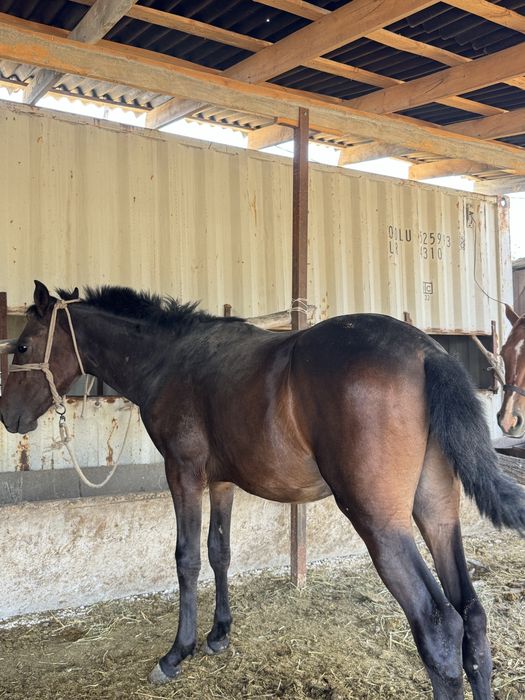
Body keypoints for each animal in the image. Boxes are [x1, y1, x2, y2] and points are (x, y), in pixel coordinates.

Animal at [1, 281, 524, 700]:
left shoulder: (183, 473)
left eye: (22, 347)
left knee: (439, 626)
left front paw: (177, 653)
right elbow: (219, 552)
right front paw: (219, 635)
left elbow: (187, 558)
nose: (8, 417)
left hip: (381, 523)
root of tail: (426, 352)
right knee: (472, 618)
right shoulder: (221, 481)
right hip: (436, 512)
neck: (171, 359)